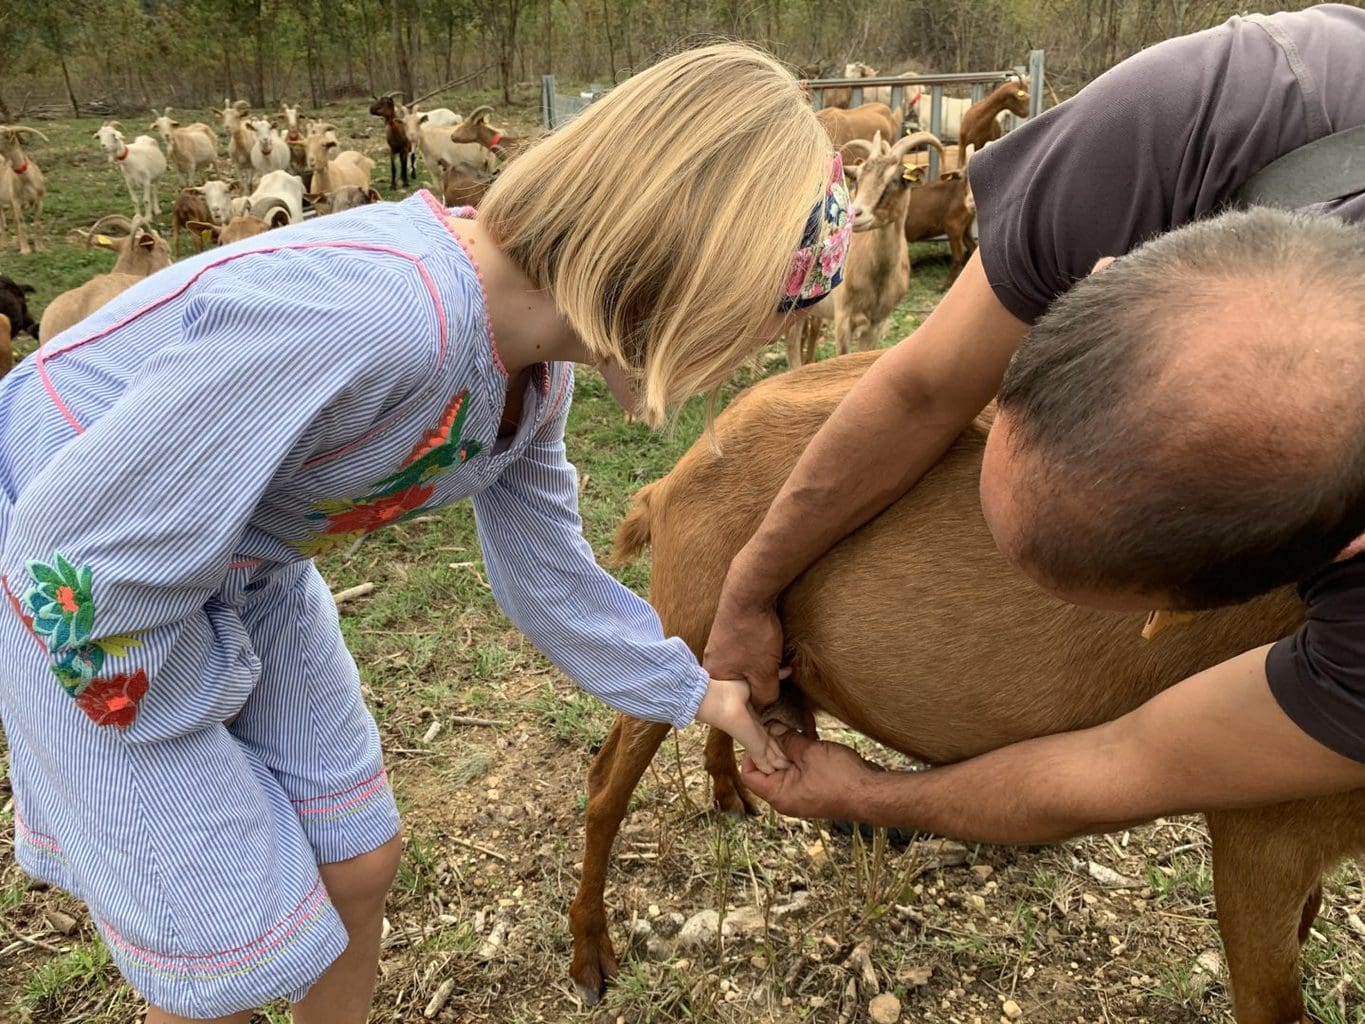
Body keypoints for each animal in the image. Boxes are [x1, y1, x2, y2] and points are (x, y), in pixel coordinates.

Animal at [567, 352, 1365, 1024]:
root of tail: (673, 477)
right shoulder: (1267, 824)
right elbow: (1271, 996)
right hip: (690, 608)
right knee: (608, 776)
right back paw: (589, 959)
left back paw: (731, 792)